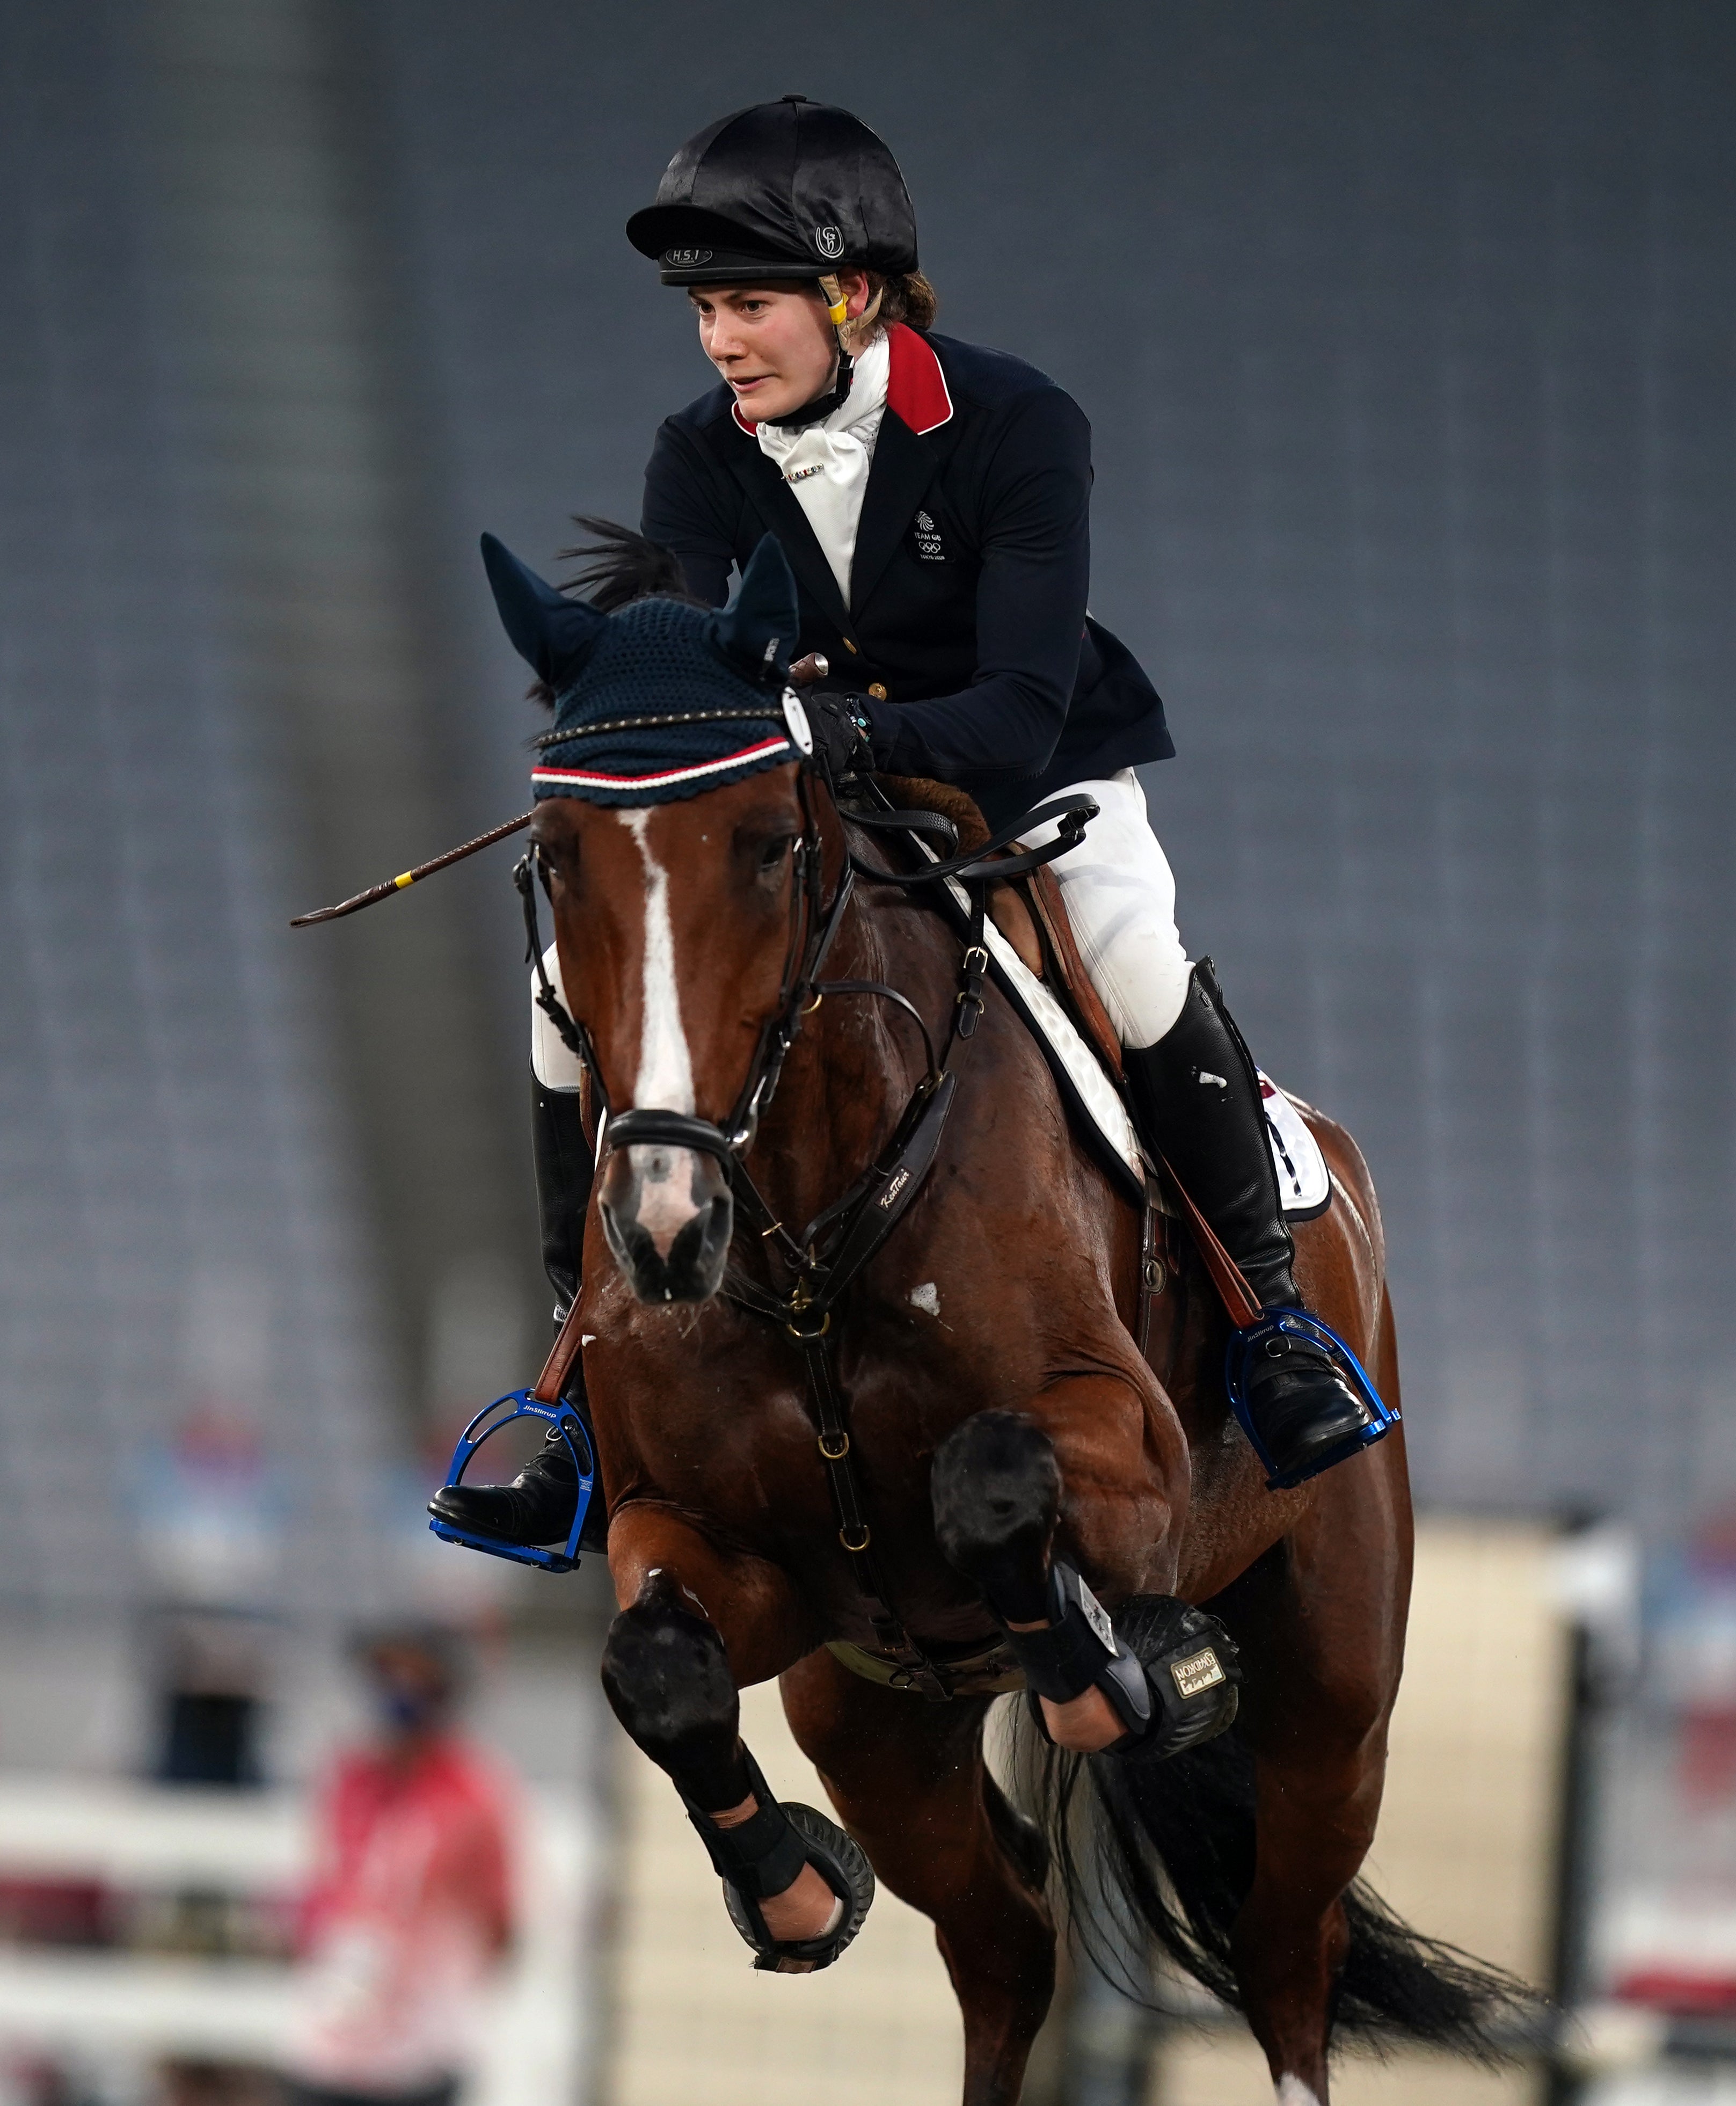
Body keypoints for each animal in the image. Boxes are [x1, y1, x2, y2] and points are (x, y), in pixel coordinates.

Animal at [478, 530, 1534, 2106]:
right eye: (553, 859)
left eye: (771, 843)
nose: (666, 1227)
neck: (806, 1252)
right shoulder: (712, 1542)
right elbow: (657, 1668)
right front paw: (795, 1891)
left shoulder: (1129, 1461)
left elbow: (989, 1483)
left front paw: (1133, 1673)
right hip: (874, 1728)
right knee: (1004, 1941)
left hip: (1337, 1696)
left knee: (1290, 1950)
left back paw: (1188, 1634)